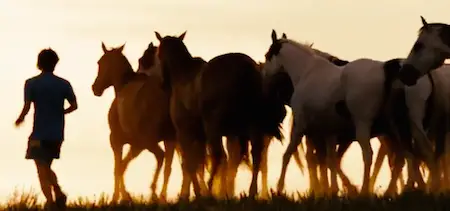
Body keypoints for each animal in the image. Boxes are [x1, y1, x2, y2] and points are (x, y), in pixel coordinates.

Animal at [91, 42, 176, 202]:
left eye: (100, 62)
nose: (95, 88)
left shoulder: (117, 141)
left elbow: (118, 167)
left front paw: (118, 197)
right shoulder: (135, 145)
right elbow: (122, 166)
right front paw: (124, 196)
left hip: (148, 141)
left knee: (160, 156)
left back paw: (153, 192)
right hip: (170, 140)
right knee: (169, 166)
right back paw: (162, 196)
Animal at [153, 31, 284, 198]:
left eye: (159, 54)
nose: (163, 84)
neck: (184, 76)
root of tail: (246, 68)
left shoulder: (185, 134)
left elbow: (190, 163)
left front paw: (197, 192)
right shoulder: (203, 137)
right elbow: (198, 163)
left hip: (214, 128)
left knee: (219, 156)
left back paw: (210, 190)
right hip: (250, 127)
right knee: (254, 155)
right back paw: (250, 192)